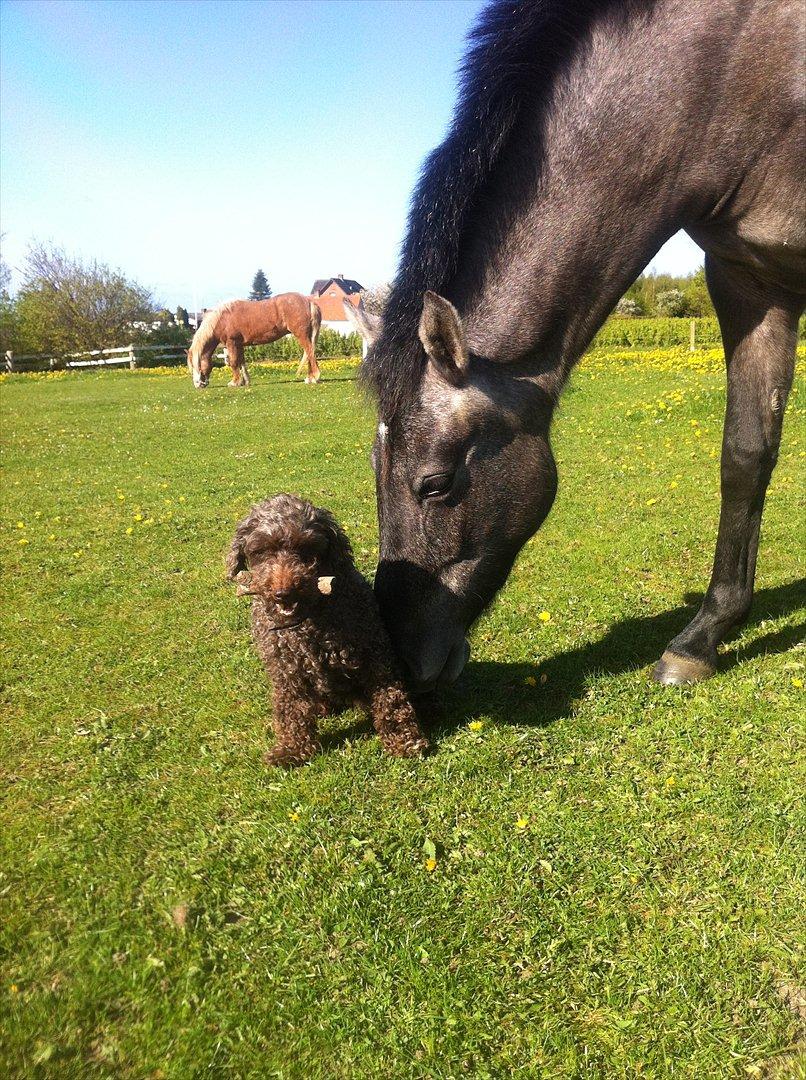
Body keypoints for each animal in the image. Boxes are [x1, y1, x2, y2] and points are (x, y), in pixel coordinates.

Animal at [186, 293, 321, 390]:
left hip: (301, 335)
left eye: (197, 365)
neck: (222, 319)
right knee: (310, 354)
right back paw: (310, 378)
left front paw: (234, 382)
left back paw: (315, 378)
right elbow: (241, 362)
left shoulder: (231, 343)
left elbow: (234, 362)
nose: (198, 384)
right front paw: (245, 381)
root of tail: (309, 301)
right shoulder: (239, 345)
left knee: (310, 352)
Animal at [225, 494, 427, 764]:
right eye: (262, 551)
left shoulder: (375, 654)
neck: (308, 620)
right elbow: (289, 710)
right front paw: (292, 749)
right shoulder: (284, 669)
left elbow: (390, 697)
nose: (283, 592)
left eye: (306, 549)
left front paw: (404, 739)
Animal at [347, 0, 803, 691]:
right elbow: (746, 454)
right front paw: (702, 638)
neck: (727, 80)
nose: (404, 660)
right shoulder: (748, 278)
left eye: (434, 484)